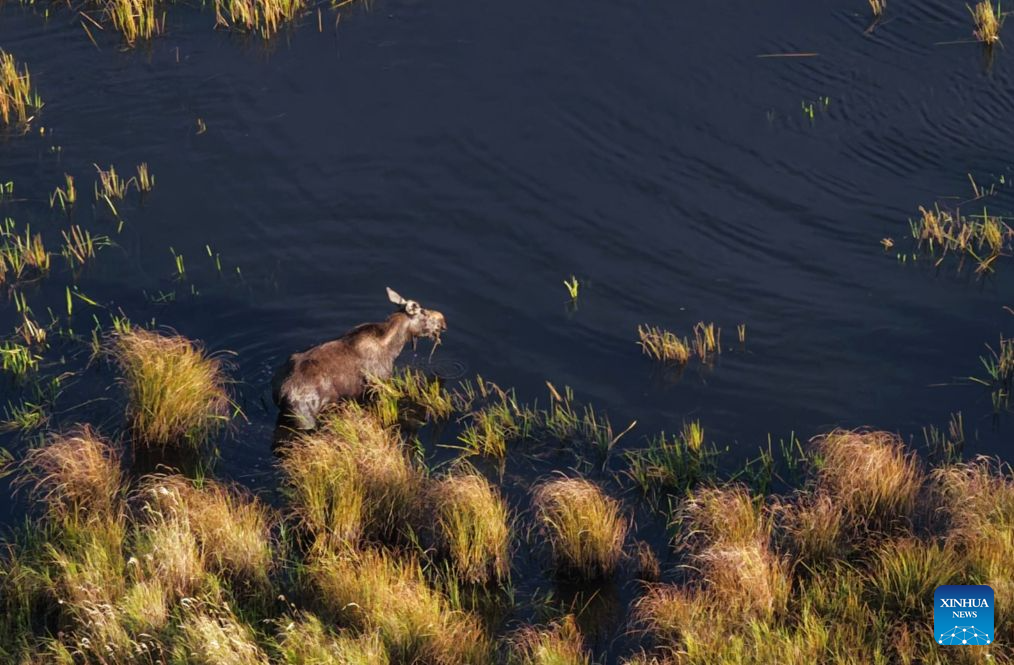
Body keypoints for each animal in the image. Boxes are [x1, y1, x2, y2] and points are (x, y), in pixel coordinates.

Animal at [272, 287, 447, 429]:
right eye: (423, 312)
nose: (443, 322)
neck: (393, 348)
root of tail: (282, 392)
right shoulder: (379, 383)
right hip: (304, 418)